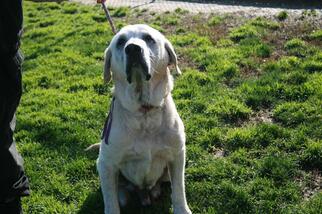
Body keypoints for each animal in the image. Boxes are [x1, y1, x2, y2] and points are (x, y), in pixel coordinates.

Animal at [95, 24, 191, 213]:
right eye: (121, 42)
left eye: (148, 38)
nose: (132, 48)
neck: (144, 112)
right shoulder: (105, 163)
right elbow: (110, 200)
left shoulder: (178, 155)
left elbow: (179, 190)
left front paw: (182, 209)